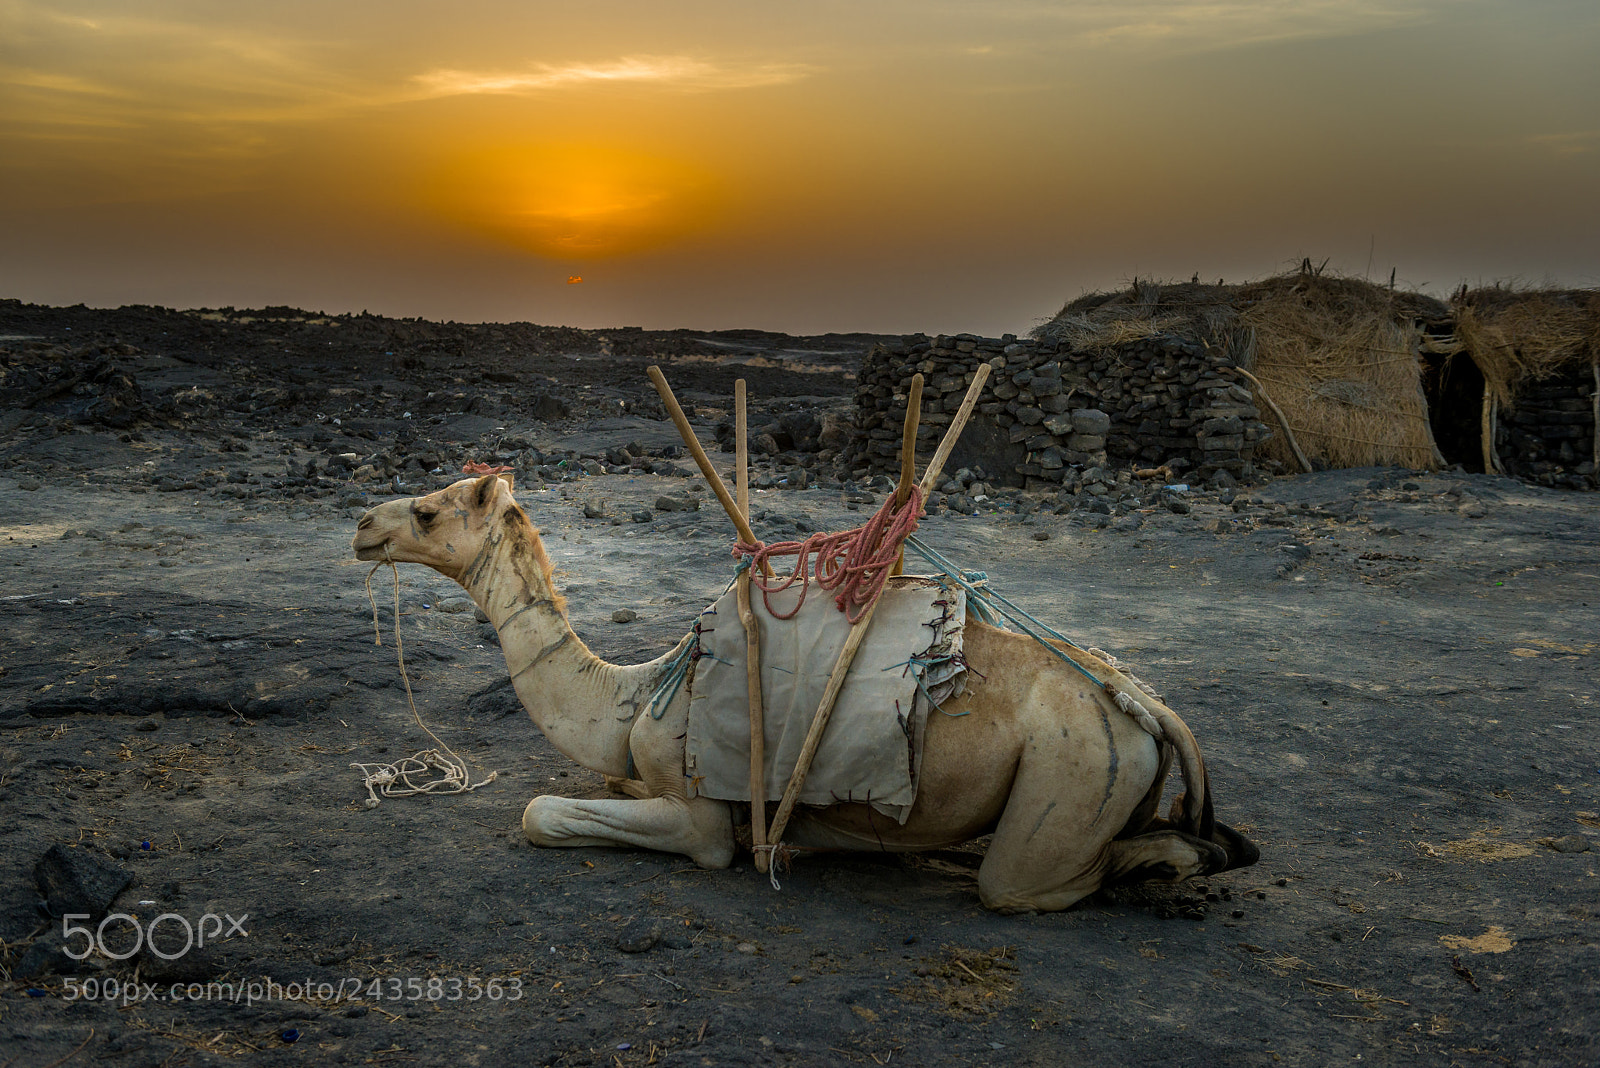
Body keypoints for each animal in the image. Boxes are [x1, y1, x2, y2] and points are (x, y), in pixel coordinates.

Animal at [352, 473, 1258, 912]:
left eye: (427, 513)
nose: (363, 525)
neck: (634, 694)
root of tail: (1143, 704)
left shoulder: (700, 815)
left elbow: (541, 812)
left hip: (1076, 771)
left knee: (1034, 880)